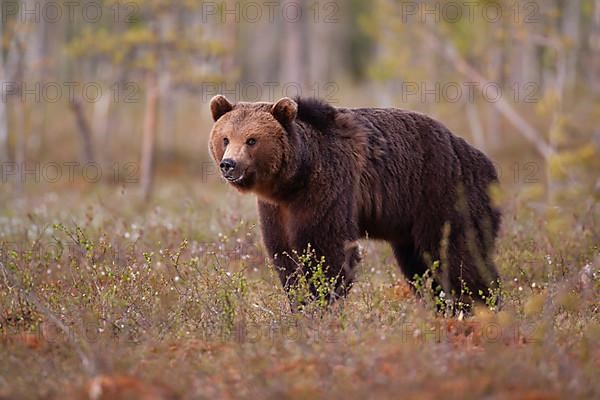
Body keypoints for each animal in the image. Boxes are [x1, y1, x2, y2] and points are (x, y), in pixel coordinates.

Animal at [209, 95, 500, 310]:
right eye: (225, 138)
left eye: (252, 139)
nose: (229, 164)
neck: (293, 180)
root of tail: (484, 162)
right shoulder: (277, 209)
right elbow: (284, 252)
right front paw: (299, 302)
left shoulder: (328, 189)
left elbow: (327, 249)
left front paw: (322, 302)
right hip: (409, 223)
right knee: (420, 263)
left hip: (443, 194)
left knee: (458, 254)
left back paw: (480, 304)